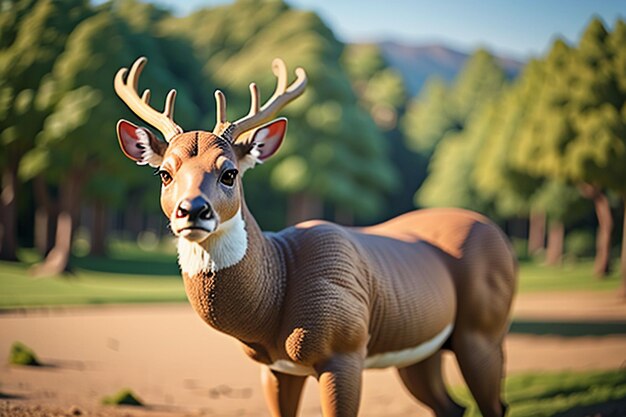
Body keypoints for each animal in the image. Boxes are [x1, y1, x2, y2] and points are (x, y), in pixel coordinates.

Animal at [114, 56, 516, 416]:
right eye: (165, 173)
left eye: (229, 172)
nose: (193, 210)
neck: (276, 291)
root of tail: (499, 235)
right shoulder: (276, 367)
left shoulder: (345, 348)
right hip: (422, 350)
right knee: (452, 407)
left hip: (484, 329)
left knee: (495, 404)